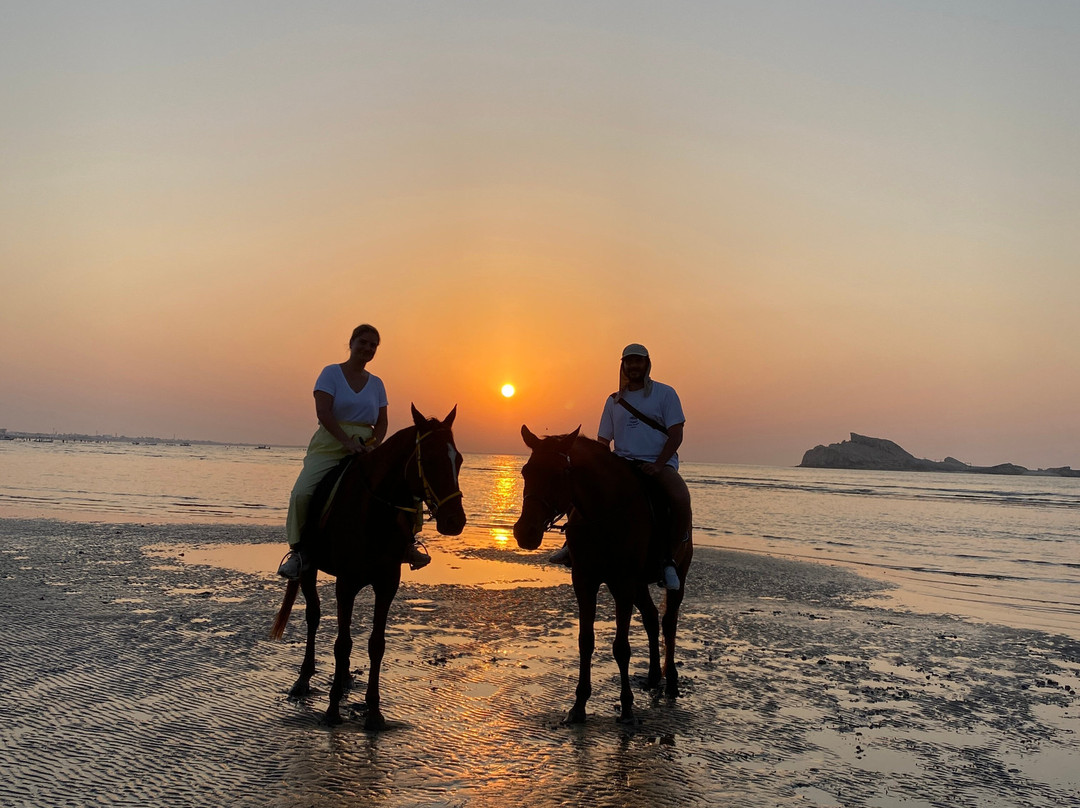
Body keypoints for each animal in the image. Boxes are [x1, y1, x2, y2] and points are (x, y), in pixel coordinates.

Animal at [270, 404, 466, 729]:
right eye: (431, 459)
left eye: (459, 460)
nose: (455, 521)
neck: (373, 513)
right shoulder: (346, 584)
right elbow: (342, 643)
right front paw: (332, 709)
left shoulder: (387, 584)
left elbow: (376, 644)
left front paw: (374, 711)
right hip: (309, 570)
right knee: (314, 617)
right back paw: (304, 679)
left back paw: (345, 679)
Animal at [512, 425, 692, 725]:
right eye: (526, 471)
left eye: (561, 472)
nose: (525, 532)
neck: (603, 511)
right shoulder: (585, 581)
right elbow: (585, 641)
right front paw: (579, 705)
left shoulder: (623, 583)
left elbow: (621, 647)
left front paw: (627, 707)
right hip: (638, 585)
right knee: (651, 618)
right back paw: (654, 676)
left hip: (675, 574)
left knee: (668, 622)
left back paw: (671, 680)